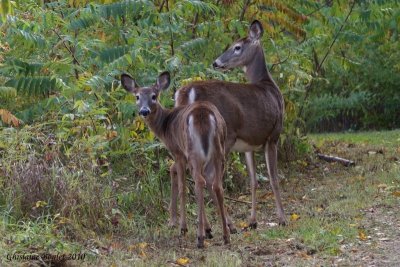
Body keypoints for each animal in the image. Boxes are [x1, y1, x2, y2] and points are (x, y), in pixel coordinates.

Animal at [120, 71, 230, 249]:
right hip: (219, 150)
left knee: (199, 182)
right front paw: (208, 228)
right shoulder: (184, 156)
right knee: (217, 185)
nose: (144, 111)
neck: (165, 125)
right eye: (137, 97)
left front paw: (183, 227)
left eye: (154, 96)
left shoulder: (178, 153)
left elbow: (182, 188)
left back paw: (199, 238)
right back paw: (226, 236)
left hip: (194, 151)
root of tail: (205, 115)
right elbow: (176, 173)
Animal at [175, 20, 288, 228]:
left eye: (237, 47)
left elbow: (253, 181)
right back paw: (228, 225)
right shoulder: (273, 135)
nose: (216, 63)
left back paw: (207, 226)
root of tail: (188, 92)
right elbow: (274, 179)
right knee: (210, 177)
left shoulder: (249, 144)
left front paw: (253, 221)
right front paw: (282, 218)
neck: (268, 85)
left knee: (192, 173)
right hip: (223, 137)